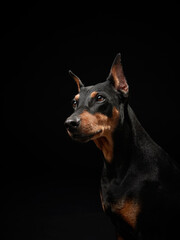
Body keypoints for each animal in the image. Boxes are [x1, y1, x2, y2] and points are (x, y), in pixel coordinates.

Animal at [64, 53, 179, 239]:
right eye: (74, 102)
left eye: (100, 98)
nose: (69, 123)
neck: (117, 166)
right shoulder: (119, 228)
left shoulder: (145, 230)